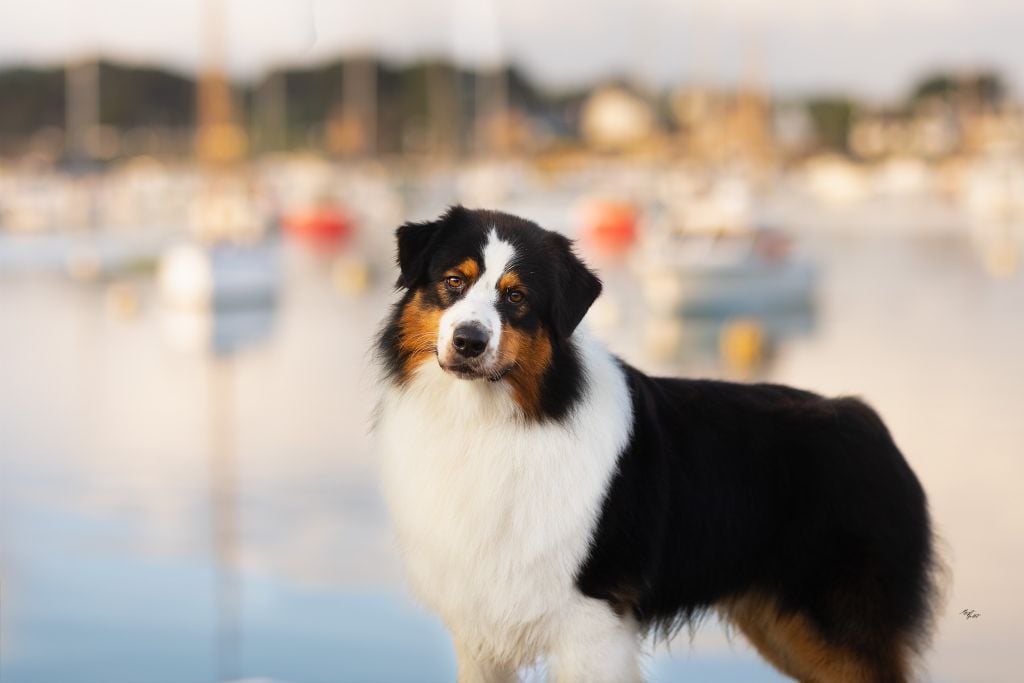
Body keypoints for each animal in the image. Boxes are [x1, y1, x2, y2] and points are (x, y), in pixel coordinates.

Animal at [376, 205, 937, 679]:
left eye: (516, 297)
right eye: (454, 281)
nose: (468, 342)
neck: (496, 422)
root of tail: (867, 418)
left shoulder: (591, 620)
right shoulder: (479, 627)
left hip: (836, 627)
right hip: (787, 629)